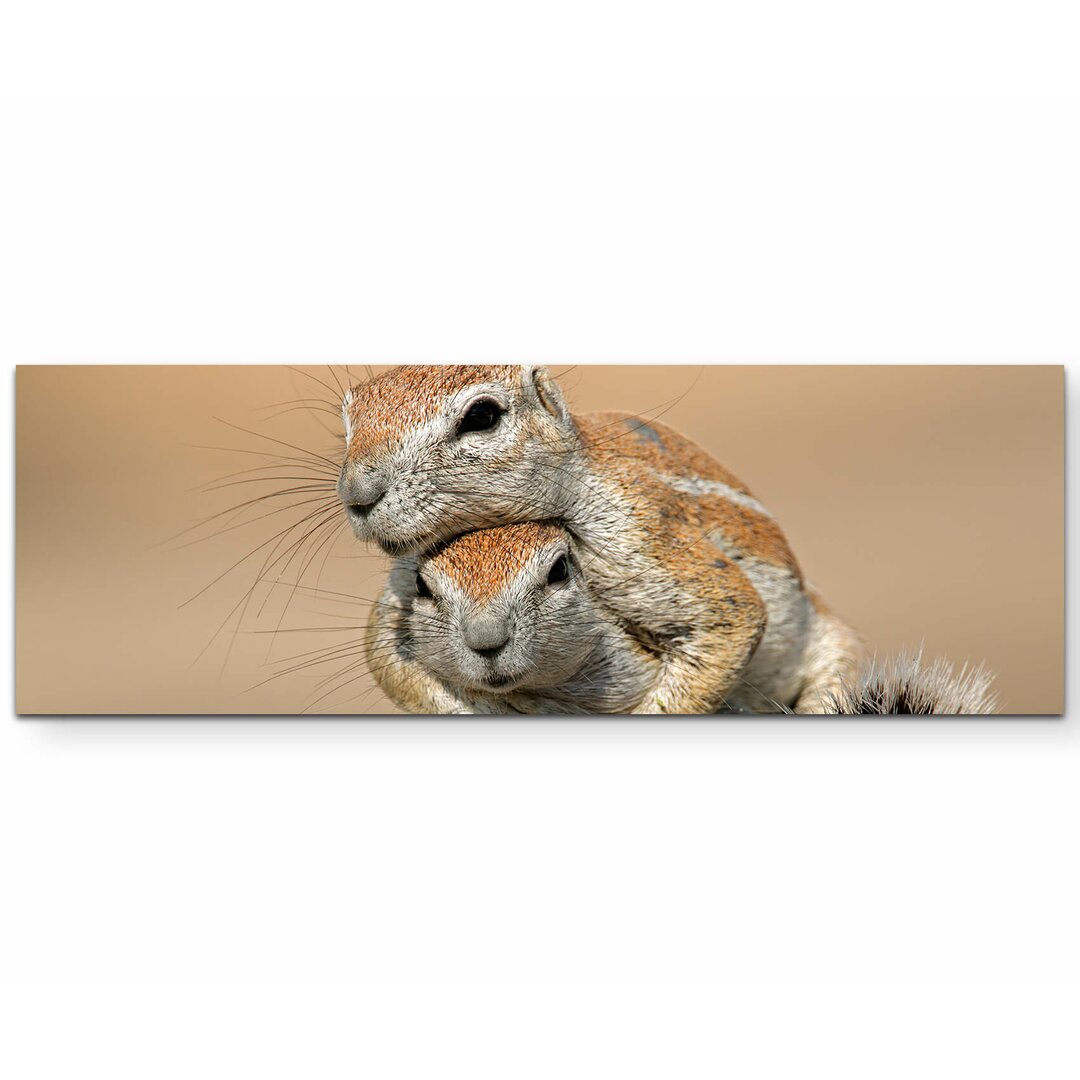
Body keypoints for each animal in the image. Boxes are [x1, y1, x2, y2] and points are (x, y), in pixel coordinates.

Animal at [339, 367, 859, 712]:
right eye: (348, 421)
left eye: (482, 416)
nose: (356, 493)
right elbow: (383, 649)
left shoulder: (636, 528)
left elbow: (731, 614)